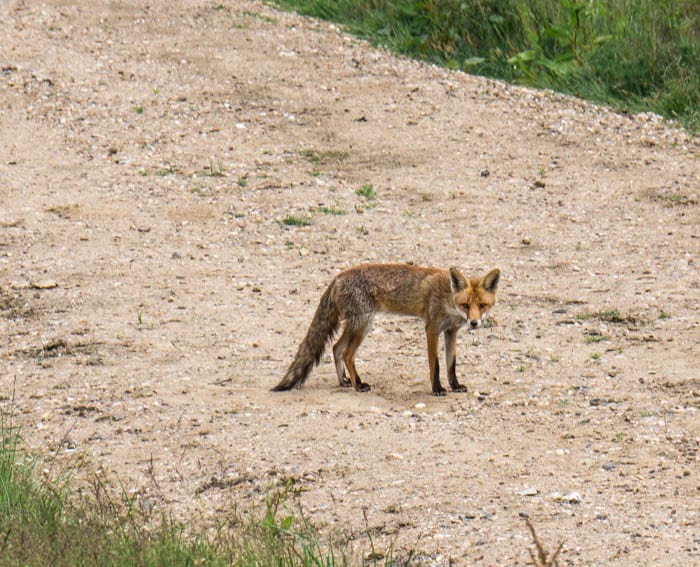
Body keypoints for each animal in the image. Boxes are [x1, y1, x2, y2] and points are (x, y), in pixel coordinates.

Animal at [270, 264, 500, 398]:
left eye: (482, 305)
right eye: (465, 305)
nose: (474, 323)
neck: (447, 298)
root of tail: (338, 276)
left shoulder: (451, 331)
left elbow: (451, 364)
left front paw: (455, 385)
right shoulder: (432, 329)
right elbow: (435, 365)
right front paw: (437, 389)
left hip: (357, 324)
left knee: (336, 348)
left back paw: (344, 381)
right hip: (364, 324)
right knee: (347, 354)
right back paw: (358, 384)